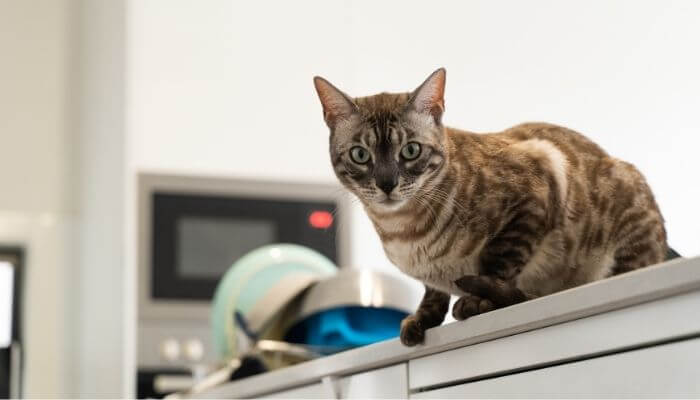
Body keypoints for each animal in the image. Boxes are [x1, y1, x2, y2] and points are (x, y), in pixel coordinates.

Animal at [312, 67, 668, 346]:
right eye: (360, 155)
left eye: (411, 150)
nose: (387, 184)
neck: (402, 230)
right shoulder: (430, 276)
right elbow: (433, 293)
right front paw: (421, 320)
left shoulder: (536, 191)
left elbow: (498, 263)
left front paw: (478, 301)